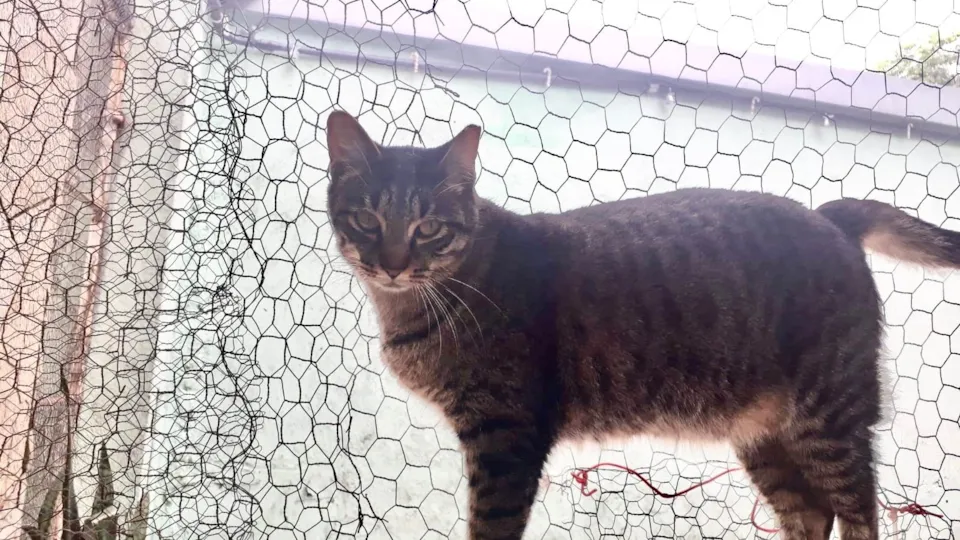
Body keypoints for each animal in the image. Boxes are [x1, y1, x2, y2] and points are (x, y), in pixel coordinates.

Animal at [324, 110, 960, 540]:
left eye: (429, 227)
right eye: (366, 219)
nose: (392, 263)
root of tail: (830, 214)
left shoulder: (506, 435)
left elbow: (490, 525)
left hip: (830, 416)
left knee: (859, 511)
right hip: (766, 437)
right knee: (811, 512)